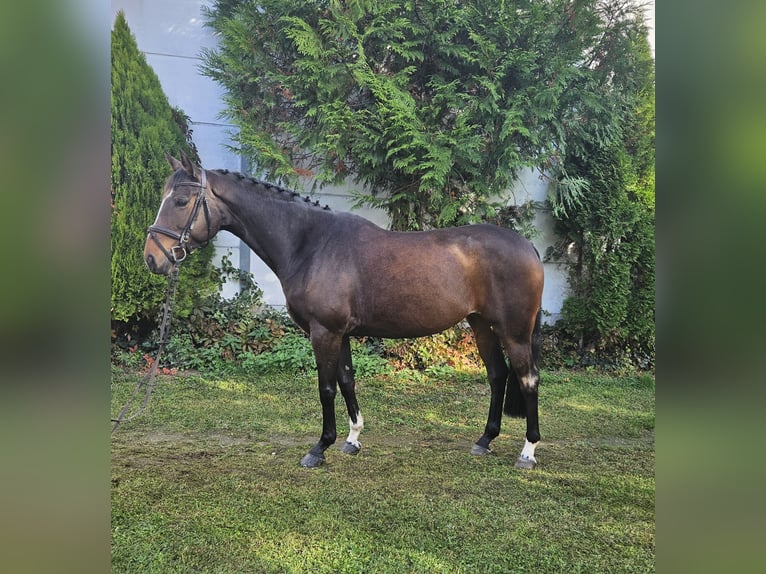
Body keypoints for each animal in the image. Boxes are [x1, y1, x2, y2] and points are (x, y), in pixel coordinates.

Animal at [144, 152, 544, 468]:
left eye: (181, 201)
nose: (152, 258)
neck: (311, 244)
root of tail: (528, 247)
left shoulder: (324, 332)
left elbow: (326, 387)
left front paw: (319, 448)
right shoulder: (342, 333)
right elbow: (347, 380)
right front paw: (352, 439)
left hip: (514, 332)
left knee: (528, 379)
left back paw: (527, 452)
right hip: (481, 325)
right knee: (497, 376)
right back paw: (484, 440)